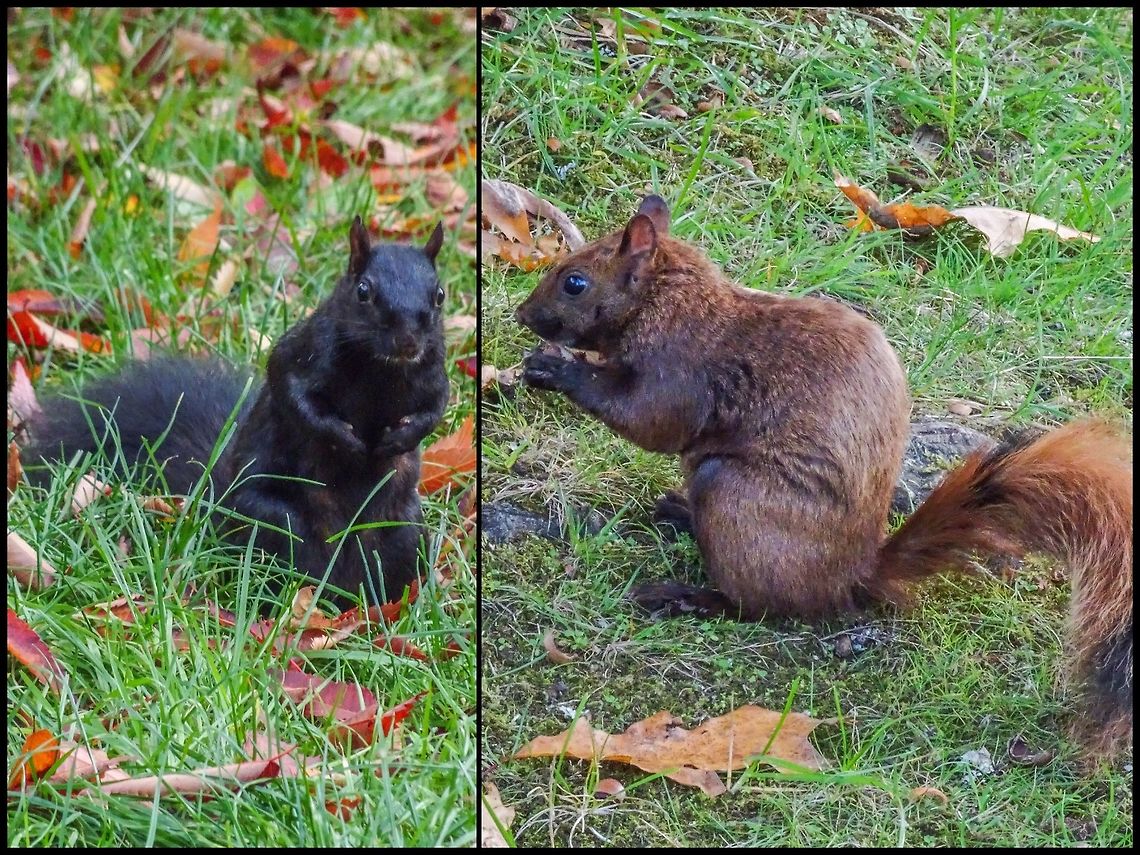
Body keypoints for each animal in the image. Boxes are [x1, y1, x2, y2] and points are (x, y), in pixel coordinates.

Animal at [25, 215, 450, 605]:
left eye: (440, 295)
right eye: (364, 291)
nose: (408, 341)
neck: (381, 369)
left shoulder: (433, 372)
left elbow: (436, 407)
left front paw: (402, 437)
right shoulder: (305, 351)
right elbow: (291, 391)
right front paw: (342, 438)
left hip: (404, 530)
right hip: (275, 524)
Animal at [516, 194, 1132, 757]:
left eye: (574, 282)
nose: (523, 315)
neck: (673, 301)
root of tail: (853, 574)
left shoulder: (681, 368)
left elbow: (650, 419)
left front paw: (555, 367)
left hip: (734, 497)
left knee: (760, 604)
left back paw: (687, 595)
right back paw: (679, 513)